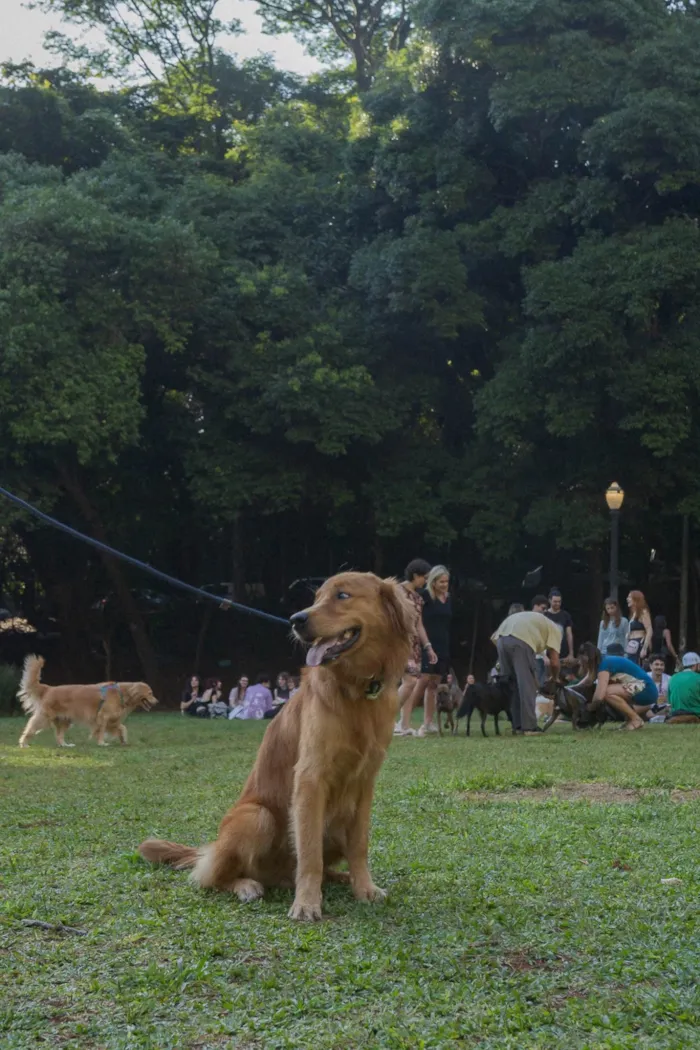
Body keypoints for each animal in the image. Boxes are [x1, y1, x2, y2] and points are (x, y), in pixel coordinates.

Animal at [18, 651, 158, 751]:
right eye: (150, 693)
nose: (157, 702)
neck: (121, 693)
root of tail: (49, 688)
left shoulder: (112, 720)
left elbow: (122, 728)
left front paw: (123, 740)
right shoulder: (103, 717)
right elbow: (101, 731)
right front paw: (102, 743)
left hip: (65, 720)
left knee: (59, 736)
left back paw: (65, 745)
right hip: (44, 718)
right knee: (30, 729)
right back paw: (23, 743)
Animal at [138, 571, 413, 923]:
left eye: (342, 595)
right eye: (316, 597)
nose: (296, 619)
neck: (356, 691)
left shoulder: (365, 783)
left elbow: (359, 845)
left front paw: (364, 887)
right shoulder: (310, 779)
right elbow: (309, 854)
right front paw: (307, 902)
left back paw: (338, 877)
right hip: (257, 817)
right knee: (212, 877)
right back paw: (247, 885)